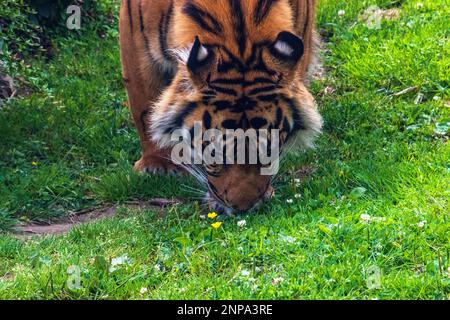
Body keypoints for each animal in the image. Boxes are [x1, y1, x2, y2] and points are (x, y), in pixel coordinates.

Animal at [119, 0, 324, 215]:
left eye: (270, 151)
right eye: (214, 154)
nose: (243, 208)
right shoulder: (137, 45)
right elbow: (144, 109)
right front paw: (158, 166)